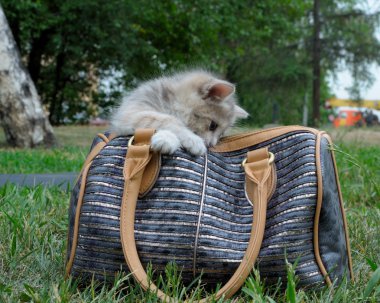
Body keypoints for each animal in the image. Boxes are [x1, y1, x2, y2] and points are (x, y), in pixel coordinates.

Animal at [110, 70, 248, 156]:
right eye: (212, 126)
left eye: (221, 134)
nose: (211, 145)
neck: (171, 101)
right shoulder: (130, 112)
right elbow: (168, 119)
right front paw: (192, 140)